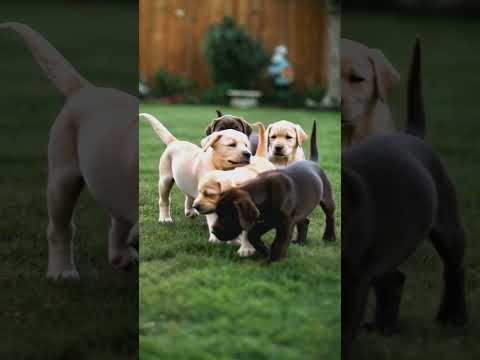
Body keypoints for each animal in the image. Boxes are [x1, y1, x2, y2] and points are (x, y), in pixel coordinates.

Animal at [0, 22, 139, 280]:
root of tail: (84, 90)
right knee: (61, 229)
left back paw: (121, 255)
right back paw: (62, 271)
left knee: (117, 215)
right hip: (62, 180)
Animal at [142, 112, 251, 242]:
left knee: (189, 194)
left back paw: (190, 211)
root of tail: (175, 142)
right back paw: (165, 218)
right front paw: (216, 239)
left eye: (246, 145)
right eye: (231, 145)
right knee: (164, 200)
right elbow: (214, 218)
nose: (248, 154)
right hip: (165, 179)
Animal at [191, 122, 274, 258]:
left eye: (209, 194)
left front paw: (245, 249)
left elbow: (246, 230)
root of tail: (260, 157)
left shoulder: (248, 211)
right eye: (200, 192)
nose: (195, 206)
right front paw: (233, 241)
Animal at [212, 121, 336, 262]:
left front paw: (273, 261)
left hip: (327, 198)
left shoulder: (285, 224)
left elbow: (279, 244)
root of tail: (312, 161)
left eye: (227, 215)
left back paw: (329, 237)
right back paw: (301, 242)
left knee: (330, 217)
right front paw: (264, 251)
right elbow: (252, 235)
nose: (214, 232)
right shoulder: (266, 220)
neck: (264, 193)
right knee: (304, 222)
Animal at [342, 39, 464, 360]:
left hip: (447, 222)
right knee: (395, 279)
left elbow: (345, 326)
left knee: (454, 265)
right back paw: (384, 327)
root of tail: (413, 136)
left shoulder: (354, 278)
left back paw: (453, 318)